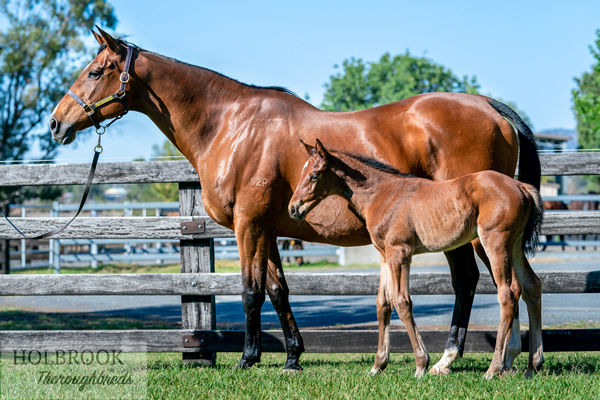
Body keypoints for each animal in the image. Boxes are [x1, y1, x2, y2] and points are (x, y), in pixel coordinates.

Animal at [290, 140, 544, 378]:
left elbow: (402, 302)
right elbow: (383, 304)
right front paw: (378, 365)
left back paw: (494, 368)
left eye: (314, 175)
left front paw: (421, 364)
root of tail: (520, 185)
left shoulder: (400, 252)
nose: (293, 208)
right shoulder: (385, 255)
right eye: (301, 172)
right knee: (531, 286)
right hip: (514, 246)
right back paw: (533, 365)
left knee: (507, 293)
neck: (382, 194)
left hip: (494, 242)